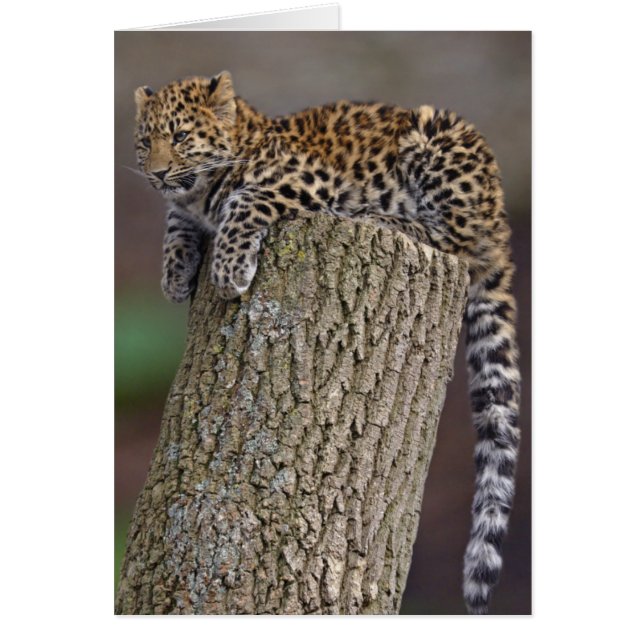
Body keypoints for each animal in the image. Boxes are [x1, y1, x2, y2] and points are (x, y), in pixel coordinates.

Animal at [133, 71, 521, 615]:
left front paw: (228, 270)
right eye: (145, 143)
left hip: (436, 139)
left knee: (455, 240)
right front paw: (175, 274)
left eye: (182, 136)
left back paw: (383, 218)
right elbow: (176, 222)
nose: (158, 173)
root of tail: (500, 212)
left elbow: (243, 201)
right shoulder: (185, 206)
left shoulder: (308, 179)